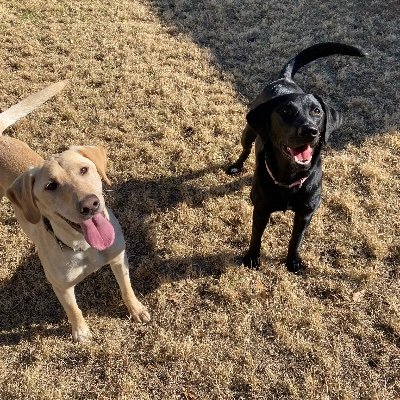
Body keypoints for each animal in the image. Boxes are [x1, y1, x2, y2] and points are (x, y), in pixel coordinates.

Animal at [227, 42, 368, 274]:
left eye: (317, 111)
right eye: (286, 111)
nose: (310, 131)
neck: (289, 177)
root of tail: (285, 80)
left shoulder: (305, 213)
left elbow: (296, 239)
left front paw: (292, 260)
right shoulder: (261, 209)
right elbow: (256, 236)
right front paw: (252, 258)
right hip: (248, 131)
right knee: (245, 149)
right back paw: (236, 166)